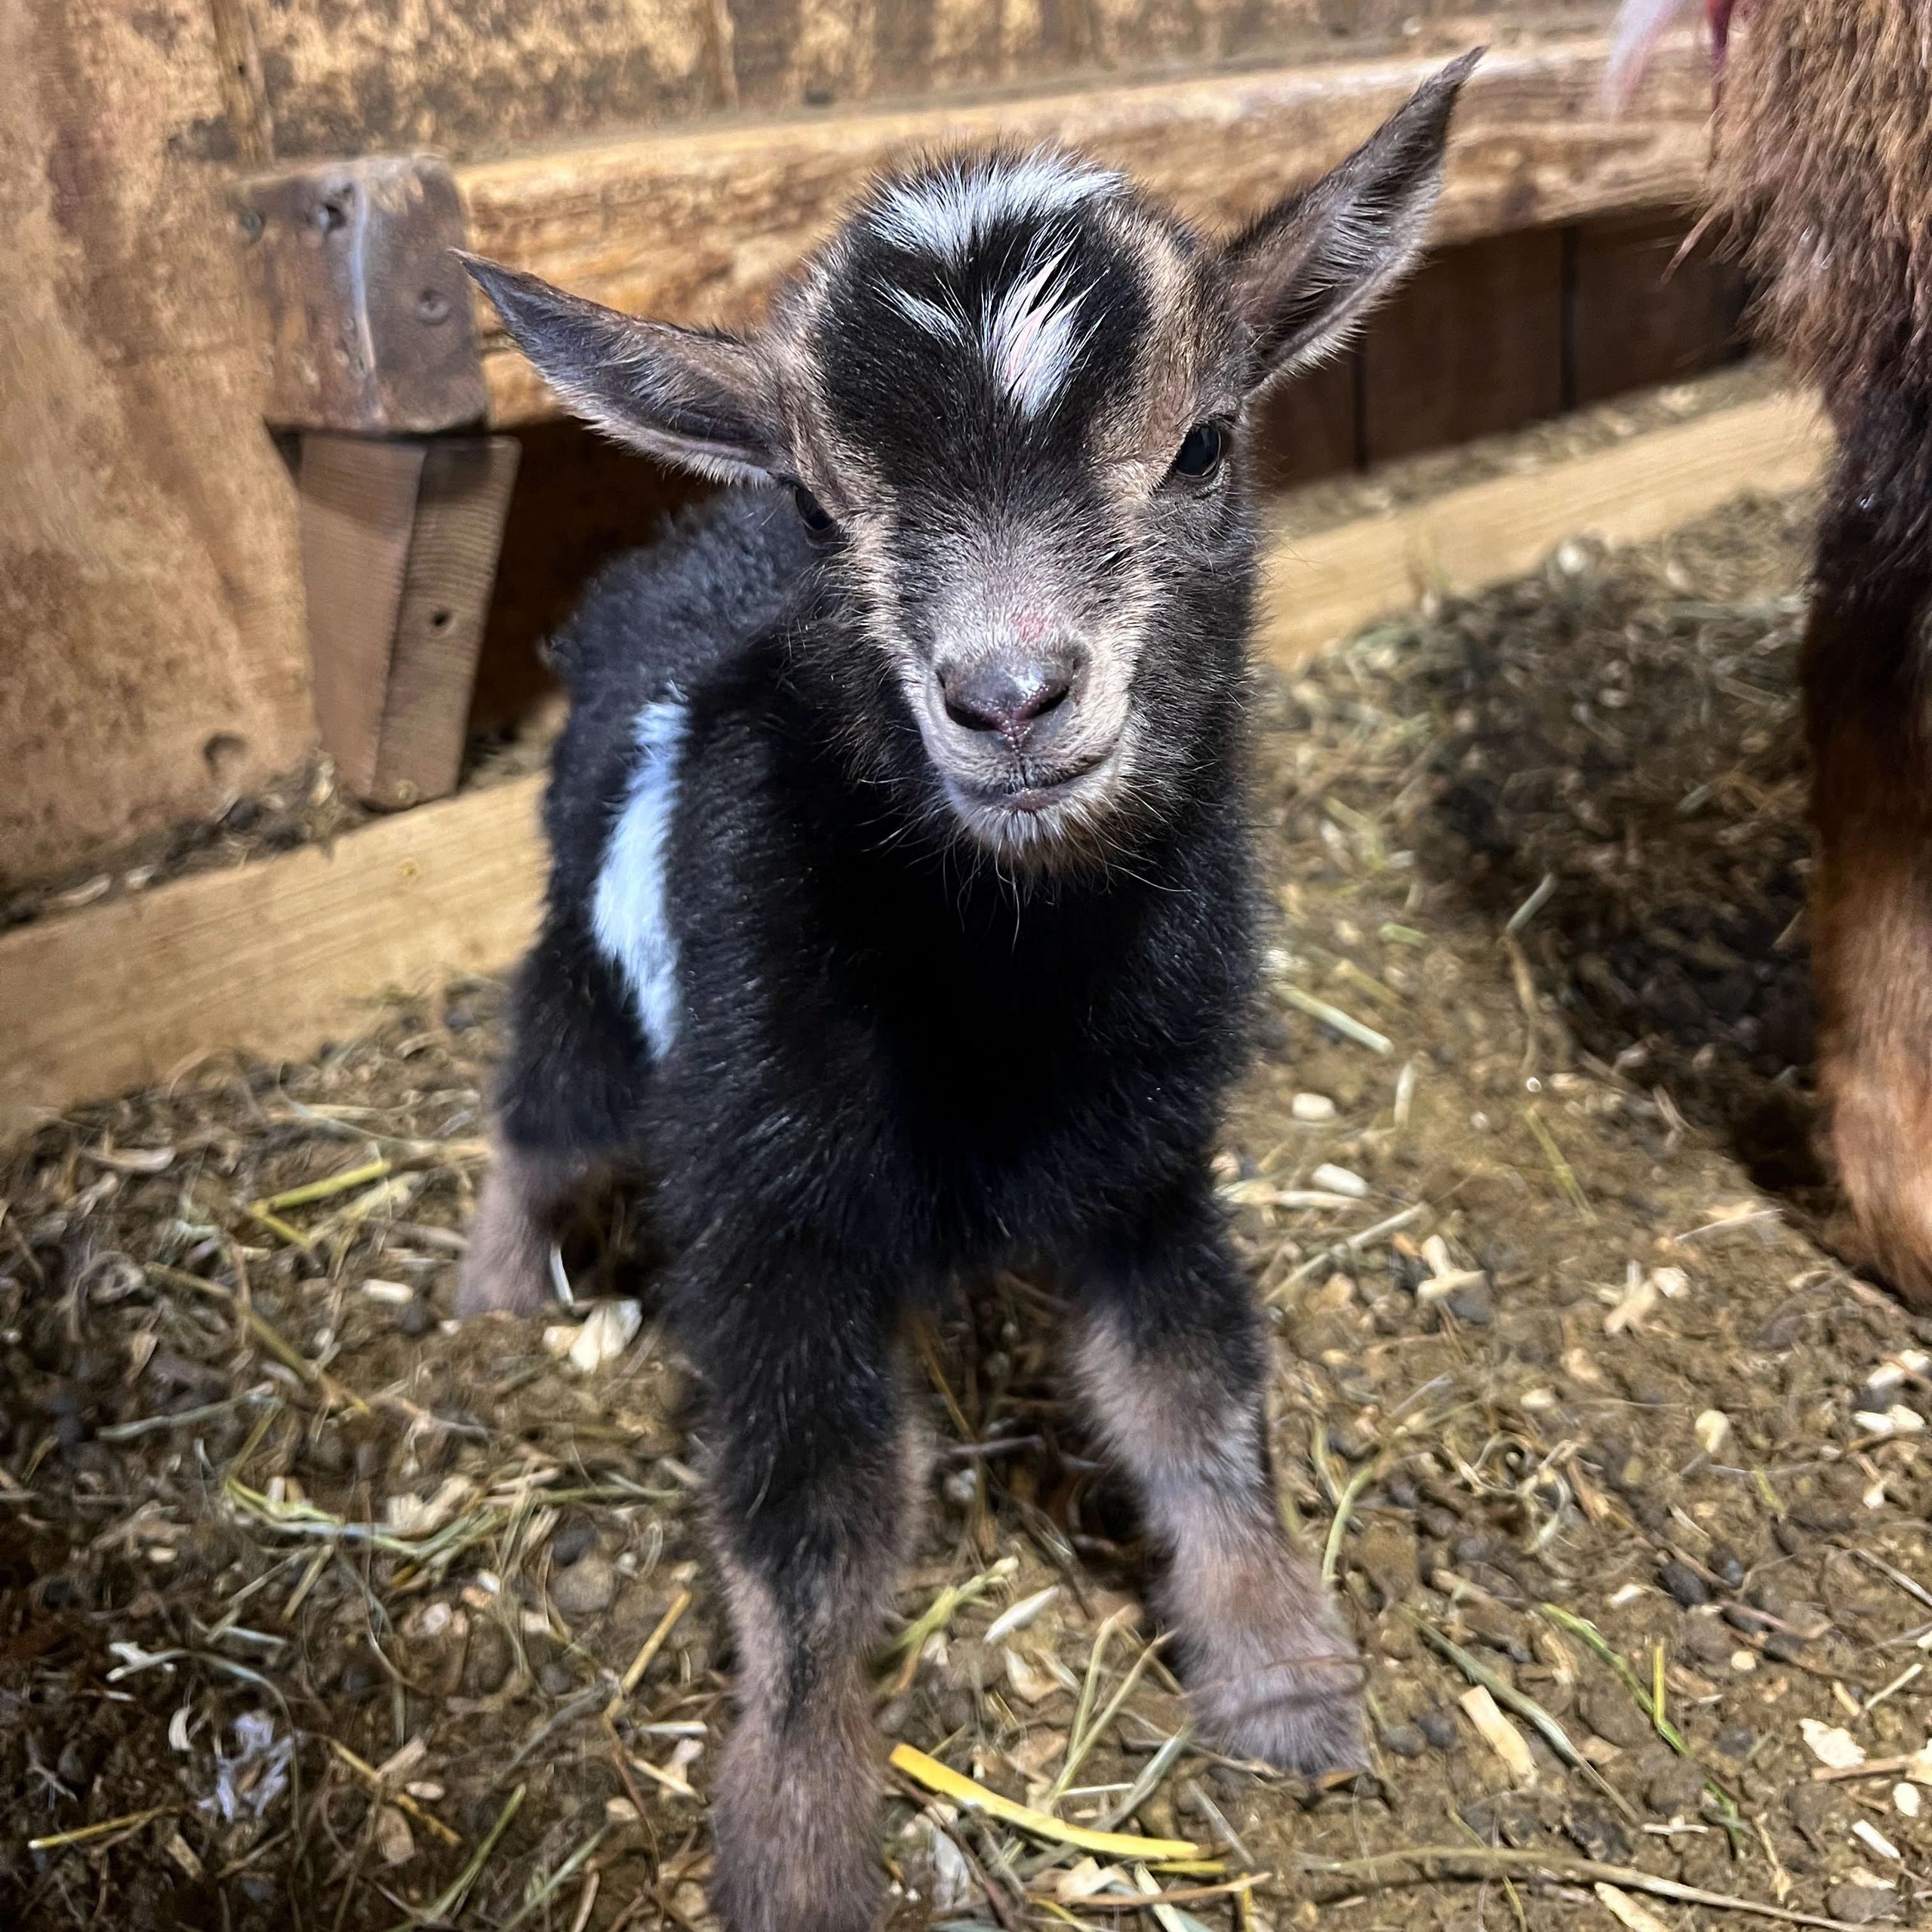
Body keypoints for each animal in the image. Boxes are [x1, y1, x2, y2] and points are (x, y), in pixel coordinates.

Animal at [458, 56, 1473, 1932]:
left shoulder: (1149, 1152)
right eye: (819, 505)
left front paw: (1283, 1676)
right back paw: (493, 1294)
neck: (994, 990)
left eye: (1203, 440)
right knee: (541, 1109)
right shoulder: (766, 1201)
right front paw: (795, 1834)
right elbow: (816, 1515)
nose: (1007, 696)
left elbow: (1190, 1391)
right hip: (585, 961)